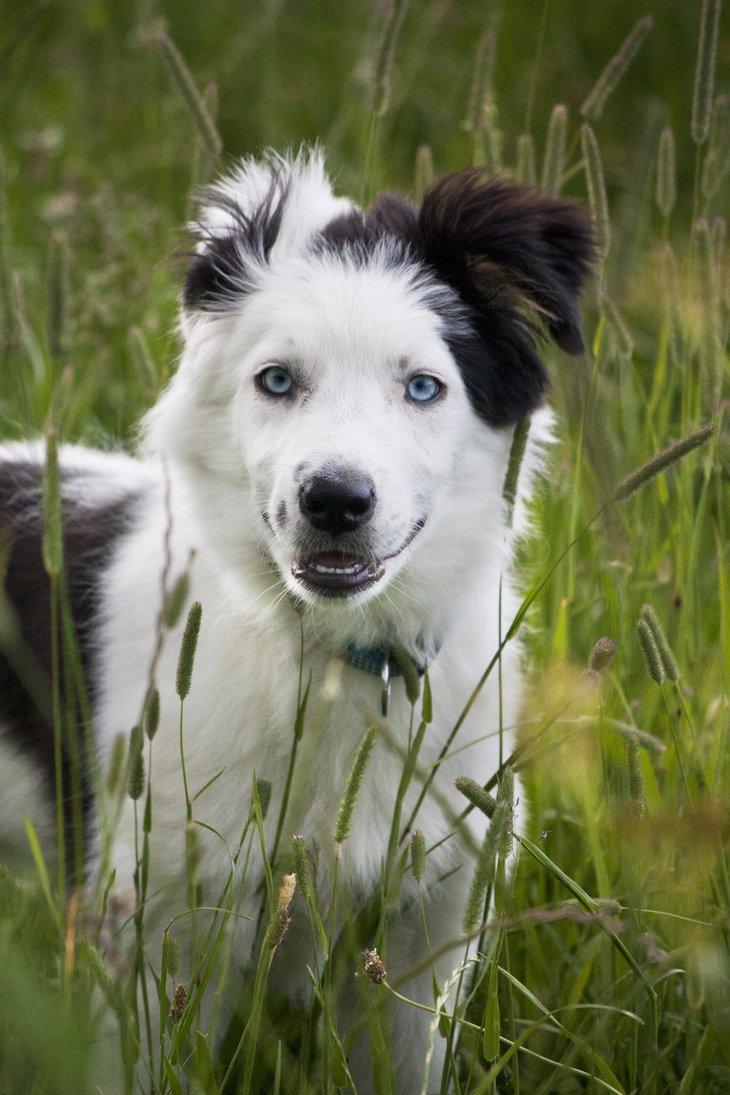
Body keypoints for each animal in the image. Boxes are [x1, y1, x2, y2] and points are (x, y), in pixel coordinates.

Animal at [0, 150, 591, 1090]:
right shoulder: (156, 927)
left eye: (422, 386)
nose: (336, 500)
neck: (336, 663)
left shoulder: (427, 928)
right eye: (277, 379)